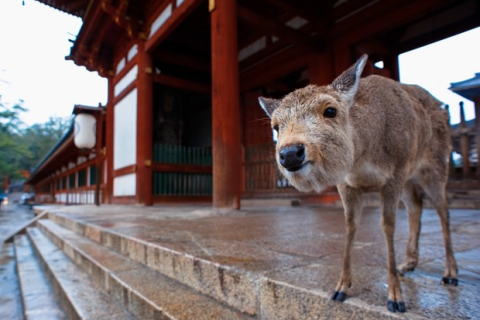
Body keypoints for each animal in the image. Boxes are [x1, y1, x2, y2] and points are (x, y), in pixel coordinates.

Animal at [258, 54, 458, 312]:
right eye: (276, 126)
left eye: (330, 110)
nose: (290, 153)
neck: (365, 158)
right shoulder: (348, 183)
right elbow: (350, 225)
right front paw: (340, 288)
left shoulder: (394, 173)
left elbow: (388, 225)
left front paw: (395, 298)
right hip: (410, 176)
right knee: (416, 205)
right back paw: (408, 264)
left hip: (435, 165)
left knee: (443, 208)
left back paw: (450, 273)